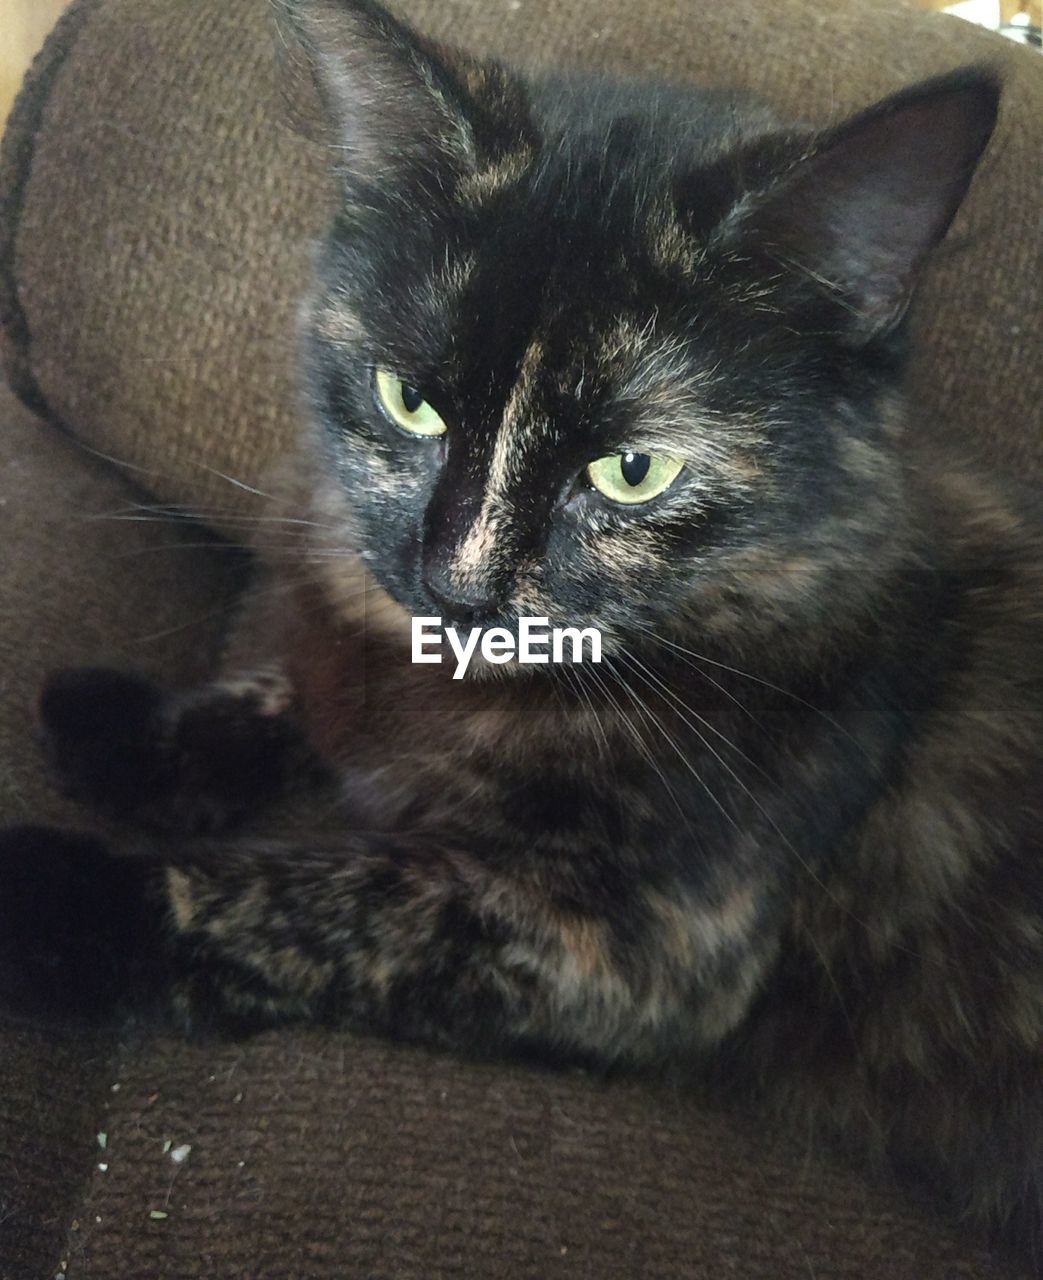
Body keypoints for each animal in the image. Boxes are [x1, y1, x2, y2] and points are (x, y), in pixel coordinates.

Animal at [2, 0, 1043, 1264]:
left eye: (632, 470)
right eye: (406, 398)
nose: (456, 588)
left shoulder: (626, 946)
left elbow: (324, 898)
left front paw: (61, 889)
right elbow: (296, 690)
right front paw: (123, 728)